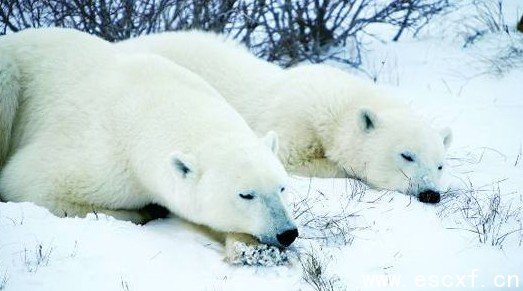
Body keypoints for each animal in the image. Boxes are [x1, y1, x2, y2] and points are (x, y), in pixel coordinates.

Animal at [0, 28, 298, 256]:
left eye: (282, 188)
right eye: (246, 194)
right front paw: (146, 211)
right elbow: (28, 183)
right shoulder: (100, 154)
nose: (287, 233)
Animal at [116, 30, 452, 204]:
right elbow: (294, 158)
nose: (430, 194)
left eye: (440, 164)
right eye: (406, 155)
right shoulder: (293, 119)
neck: (333, 103)